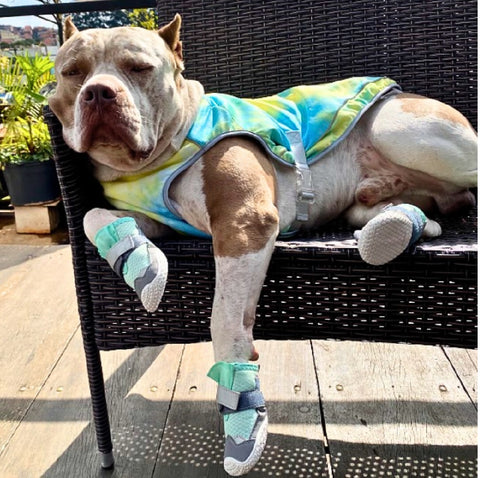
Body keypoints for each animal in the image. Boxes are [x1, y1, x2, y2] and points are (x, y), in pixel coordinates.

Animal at [48, 14, 476, 474]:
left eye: (139, 68)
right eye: (72, 72)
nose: (98, 92)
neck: (159, 154)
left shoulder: (244, 223)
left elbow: (225, 320)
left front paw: (241, 413)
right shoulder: (160, 221)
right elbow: (92, 216)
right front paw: (139, 261)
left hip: (400, 130)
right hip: (376, 195)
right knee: (423, 205)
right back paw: (394, 226)